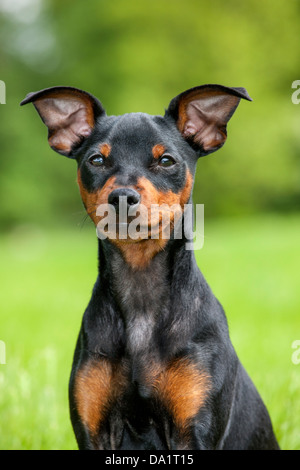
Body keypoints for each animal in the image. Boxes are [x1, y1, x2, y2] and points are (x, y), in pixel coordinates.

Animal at [20, 84, 278, 452]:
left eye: (166, 160)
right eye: (96, 160)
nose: (122, 196)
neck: (140, 286)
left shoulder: (193, 429)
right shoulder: (93, 428)